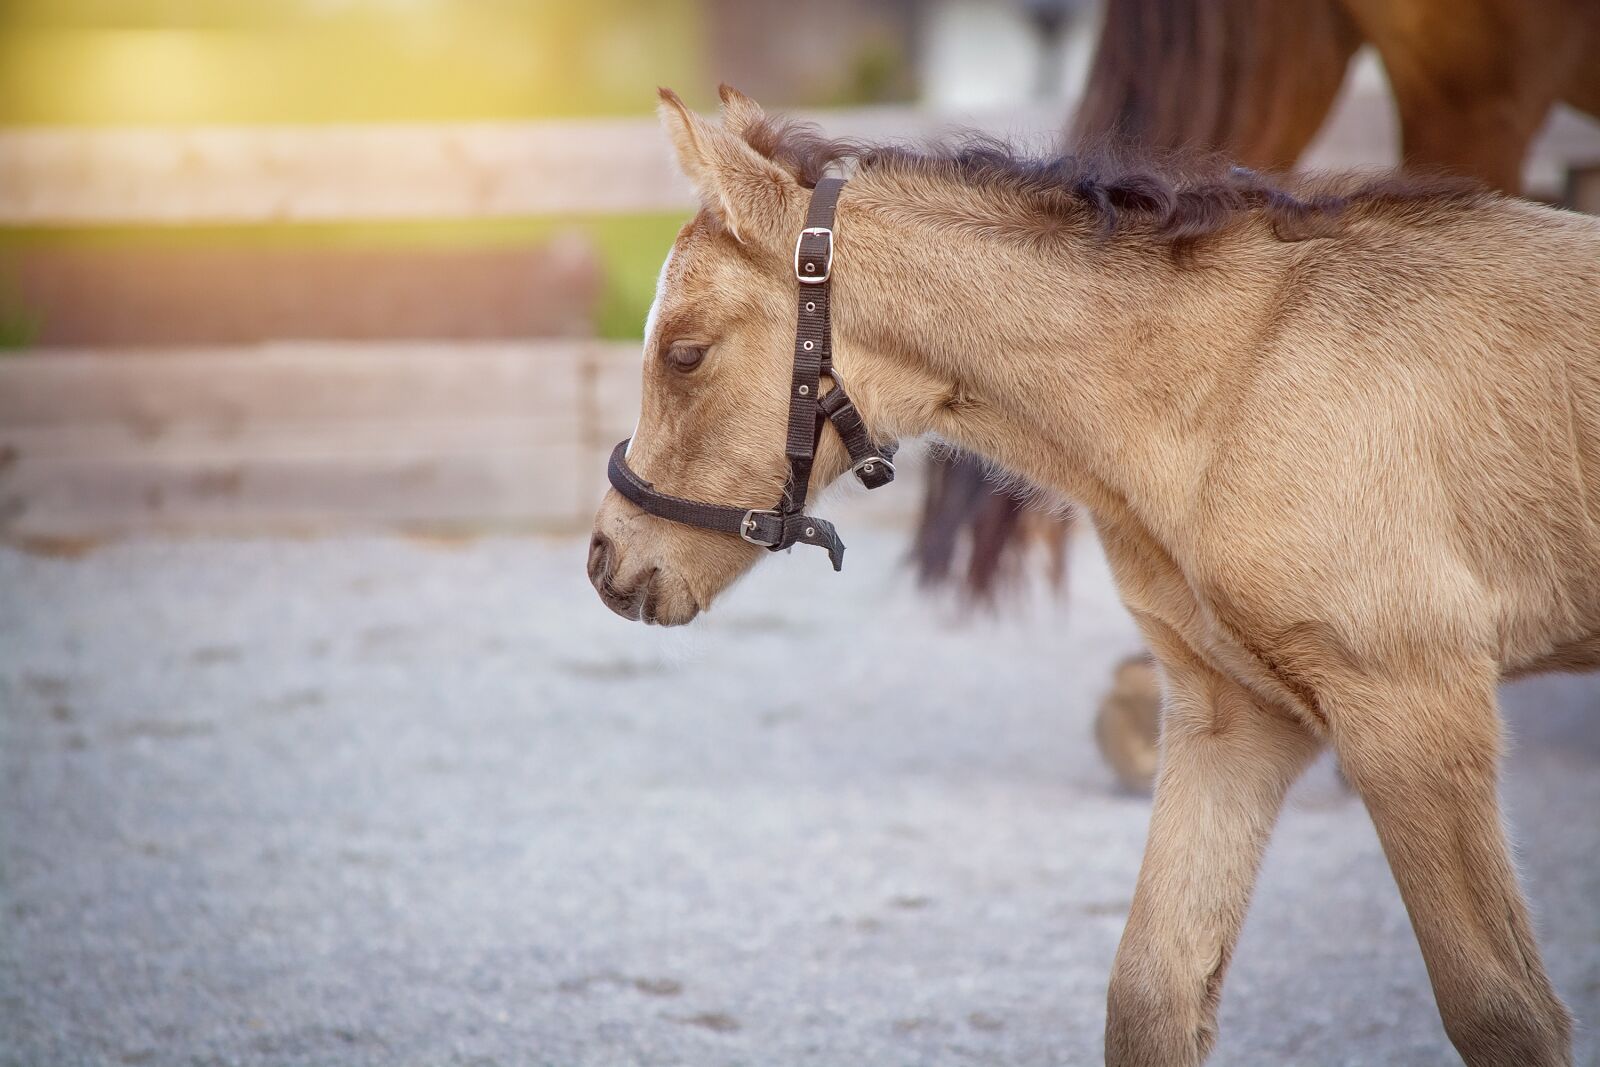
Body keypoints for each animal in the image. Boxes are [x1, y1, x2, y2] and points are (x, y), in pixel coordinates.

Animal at [587, 85, 1599, 1065]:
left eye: (685, 352)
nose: (606, 559)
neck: (1234, 381)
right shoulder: (1236, 714)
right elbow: (1151, 999)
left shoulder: (1414, 710)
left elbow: (1503, 1011)